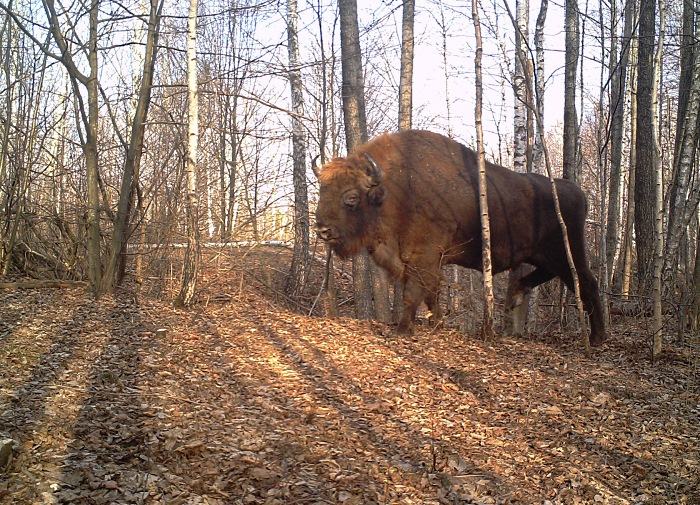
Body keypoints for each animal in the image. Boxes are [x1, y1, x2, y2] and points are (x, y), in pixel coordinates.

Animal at [314, 128, 604, 344]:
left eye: (351, 197)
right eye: (322, 190)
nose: (323, 229)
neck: (392, 190)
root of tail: (577, 192)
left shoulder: (424, 256)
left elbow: (414, 292)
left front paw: (404, 329)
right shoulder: (427, 261)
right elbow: (431, 293)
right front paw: (436, 323)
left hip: (567, 251)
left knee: (587, 283)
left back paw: (597, 338)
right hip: (545, 255)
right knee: (549, 276)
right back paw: (516, 296)